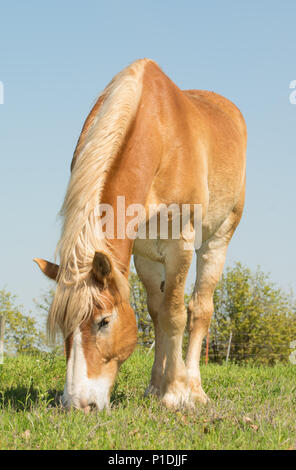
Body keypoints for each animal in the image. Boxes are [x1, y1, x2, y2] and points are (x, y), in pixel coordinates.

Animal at [34, 59, 246, 412]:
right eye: (63, 325)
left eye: (103, 321)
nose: (78, 404)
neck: (159, 136)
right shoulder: (144, 253)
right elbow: (157, 313)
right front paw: (156, 387)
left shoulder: (179, 245)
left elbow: (175, 314)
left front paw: (175, 393)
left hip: (218, 238)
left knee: (200, 309)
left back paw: (195, 389)